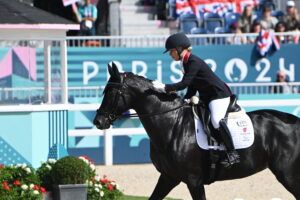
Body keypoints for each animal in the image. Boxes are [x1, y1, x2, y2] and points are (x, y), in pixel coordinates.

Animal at [94, 64, 300, 200]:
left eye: (111, 92)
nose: (98, 121)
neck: (172, 125)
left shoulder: (194, 181)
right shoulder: (168, 177)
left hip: (288, 174)